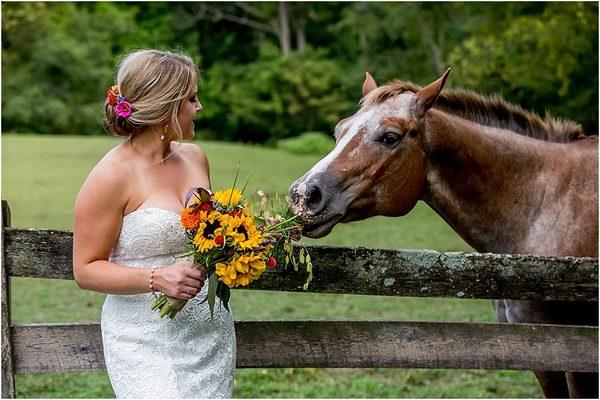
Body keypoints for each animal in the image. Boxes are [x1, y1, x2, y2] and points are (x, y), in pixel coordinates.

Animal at [288, 69, 596, 396]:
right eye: (339, 130)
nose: (303, 195)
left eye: (390, 137)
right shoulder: (540, 355)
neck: (542, 205)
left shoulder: (576, 353)